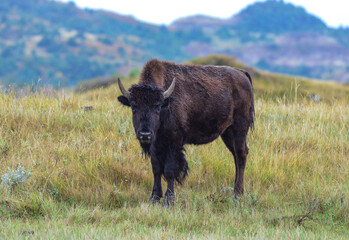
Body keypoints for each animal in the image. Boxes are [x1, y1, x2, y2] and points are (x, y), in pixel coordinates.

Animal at [117, 59, 253, 205]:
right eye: (134, 106)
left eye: (157, 107)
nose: (145, 135)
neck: (166, 102)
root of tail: (242, 73)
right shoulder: (155, 145)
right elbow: (156, 169)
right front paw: (154, 198)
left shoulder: (174, 142)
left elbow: (169, 170)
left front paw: (169, 200)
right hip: (227, 133)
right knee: (235, 156)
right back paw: (236, 191)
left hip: (240, 128)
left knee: (241, 155)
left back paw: (237, 194)